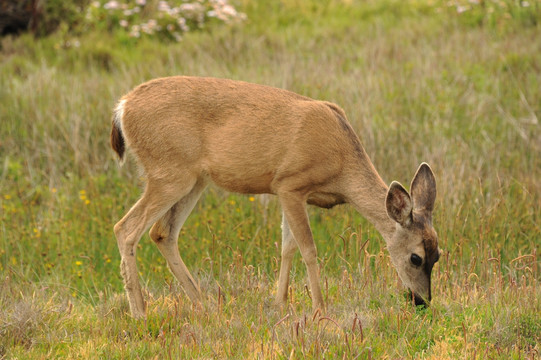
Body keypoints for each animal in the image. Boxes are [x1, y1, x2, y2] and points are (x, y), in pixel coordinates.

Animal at [109, 76, 438, 318]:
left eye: (438, 255)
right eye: (416, 257)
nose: (422, 301)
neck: (341, 165)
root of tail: (122, 107)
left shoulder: (289, 193)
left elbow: (287, 247)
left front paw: (280, 303)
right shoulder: (290, 183)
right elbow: (308, 249)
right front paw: (320, 309)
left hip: (194, 179)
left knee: (162, 232)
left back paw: (205, 305)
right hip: (169, 172)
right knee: (126, 228)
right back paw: (140, 313)